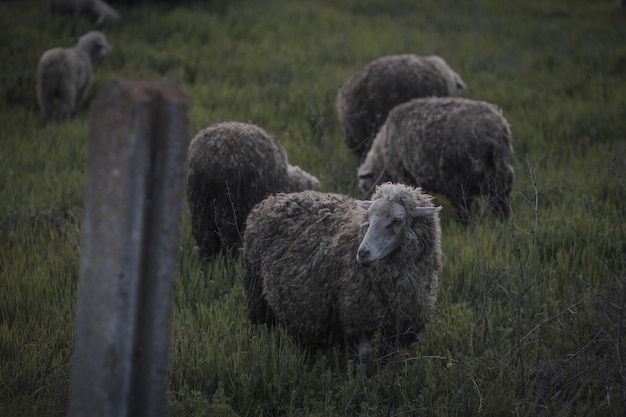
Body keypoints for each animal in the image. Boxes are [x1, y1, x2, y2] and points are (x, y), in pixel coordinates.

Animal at [241, 181, 442, 370]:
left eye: (398, 220)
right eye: (369, 217)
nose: (362, 253)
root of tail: (273, 198)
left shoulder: (400, 324)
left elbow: (389, 359)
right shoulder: (358, 315)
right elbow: (366, 358)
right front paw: (367, 380)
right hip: (256, 290)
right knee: (258, 327)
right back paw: (257, 348)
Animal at [356, 97, 512, 223]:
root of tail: (492, 130)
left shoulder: (402, 173)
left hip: (459, 179)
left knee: (464, 208)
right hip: (501, 173)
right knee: (500, 204)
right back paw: (501, 225)